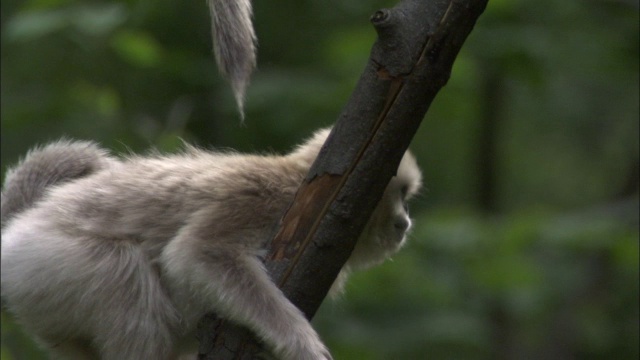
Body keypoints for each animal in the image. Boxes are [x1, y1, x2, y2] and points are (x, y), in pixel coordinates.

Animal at [2, 129, 422, 360]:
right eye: (401, 195)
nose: (405, 222)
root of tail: (19, 227)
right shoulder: (265, 197)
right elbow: (196, 254)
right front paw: (299, 341)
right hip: (43, 261)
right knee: (124, 274)